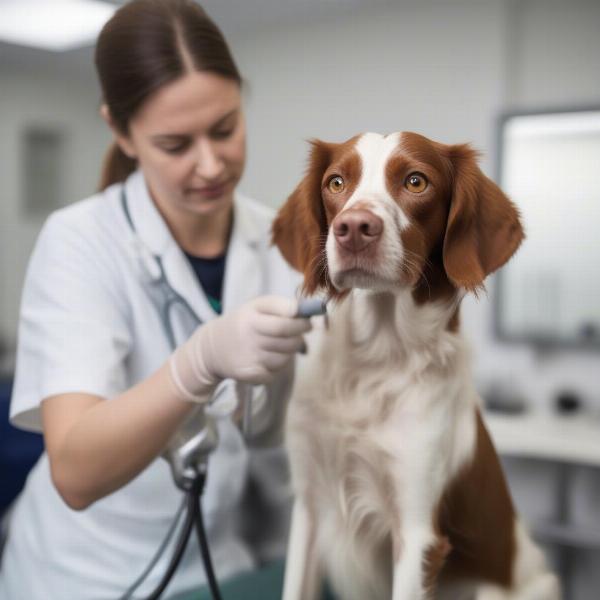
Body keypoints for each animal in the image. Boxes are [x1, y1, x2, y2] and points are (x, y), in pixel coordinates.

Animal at [272, 132, 564, 600]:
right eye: (336, 182)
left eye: (415, 181)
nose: (353, 228)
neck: (374, 361)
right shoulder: (309, 507)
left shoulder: (416, 533)